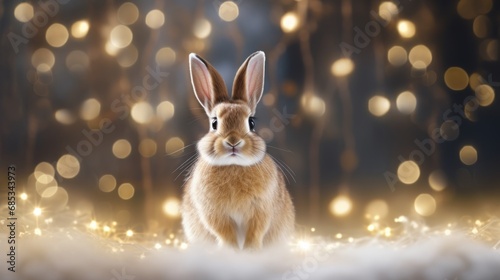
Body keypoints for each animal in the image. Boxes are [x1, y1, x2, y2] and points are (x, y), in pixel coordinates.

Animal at [182, 50, 294, 249]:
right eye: (214, 123)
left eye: (251, 122)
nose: (233, 141)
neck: (233, 166)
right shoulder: (215, 214)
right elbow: (226, 233)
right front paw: (231, 251)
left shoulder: (261, 210)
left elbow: (255, 232)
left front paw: (251, 251)